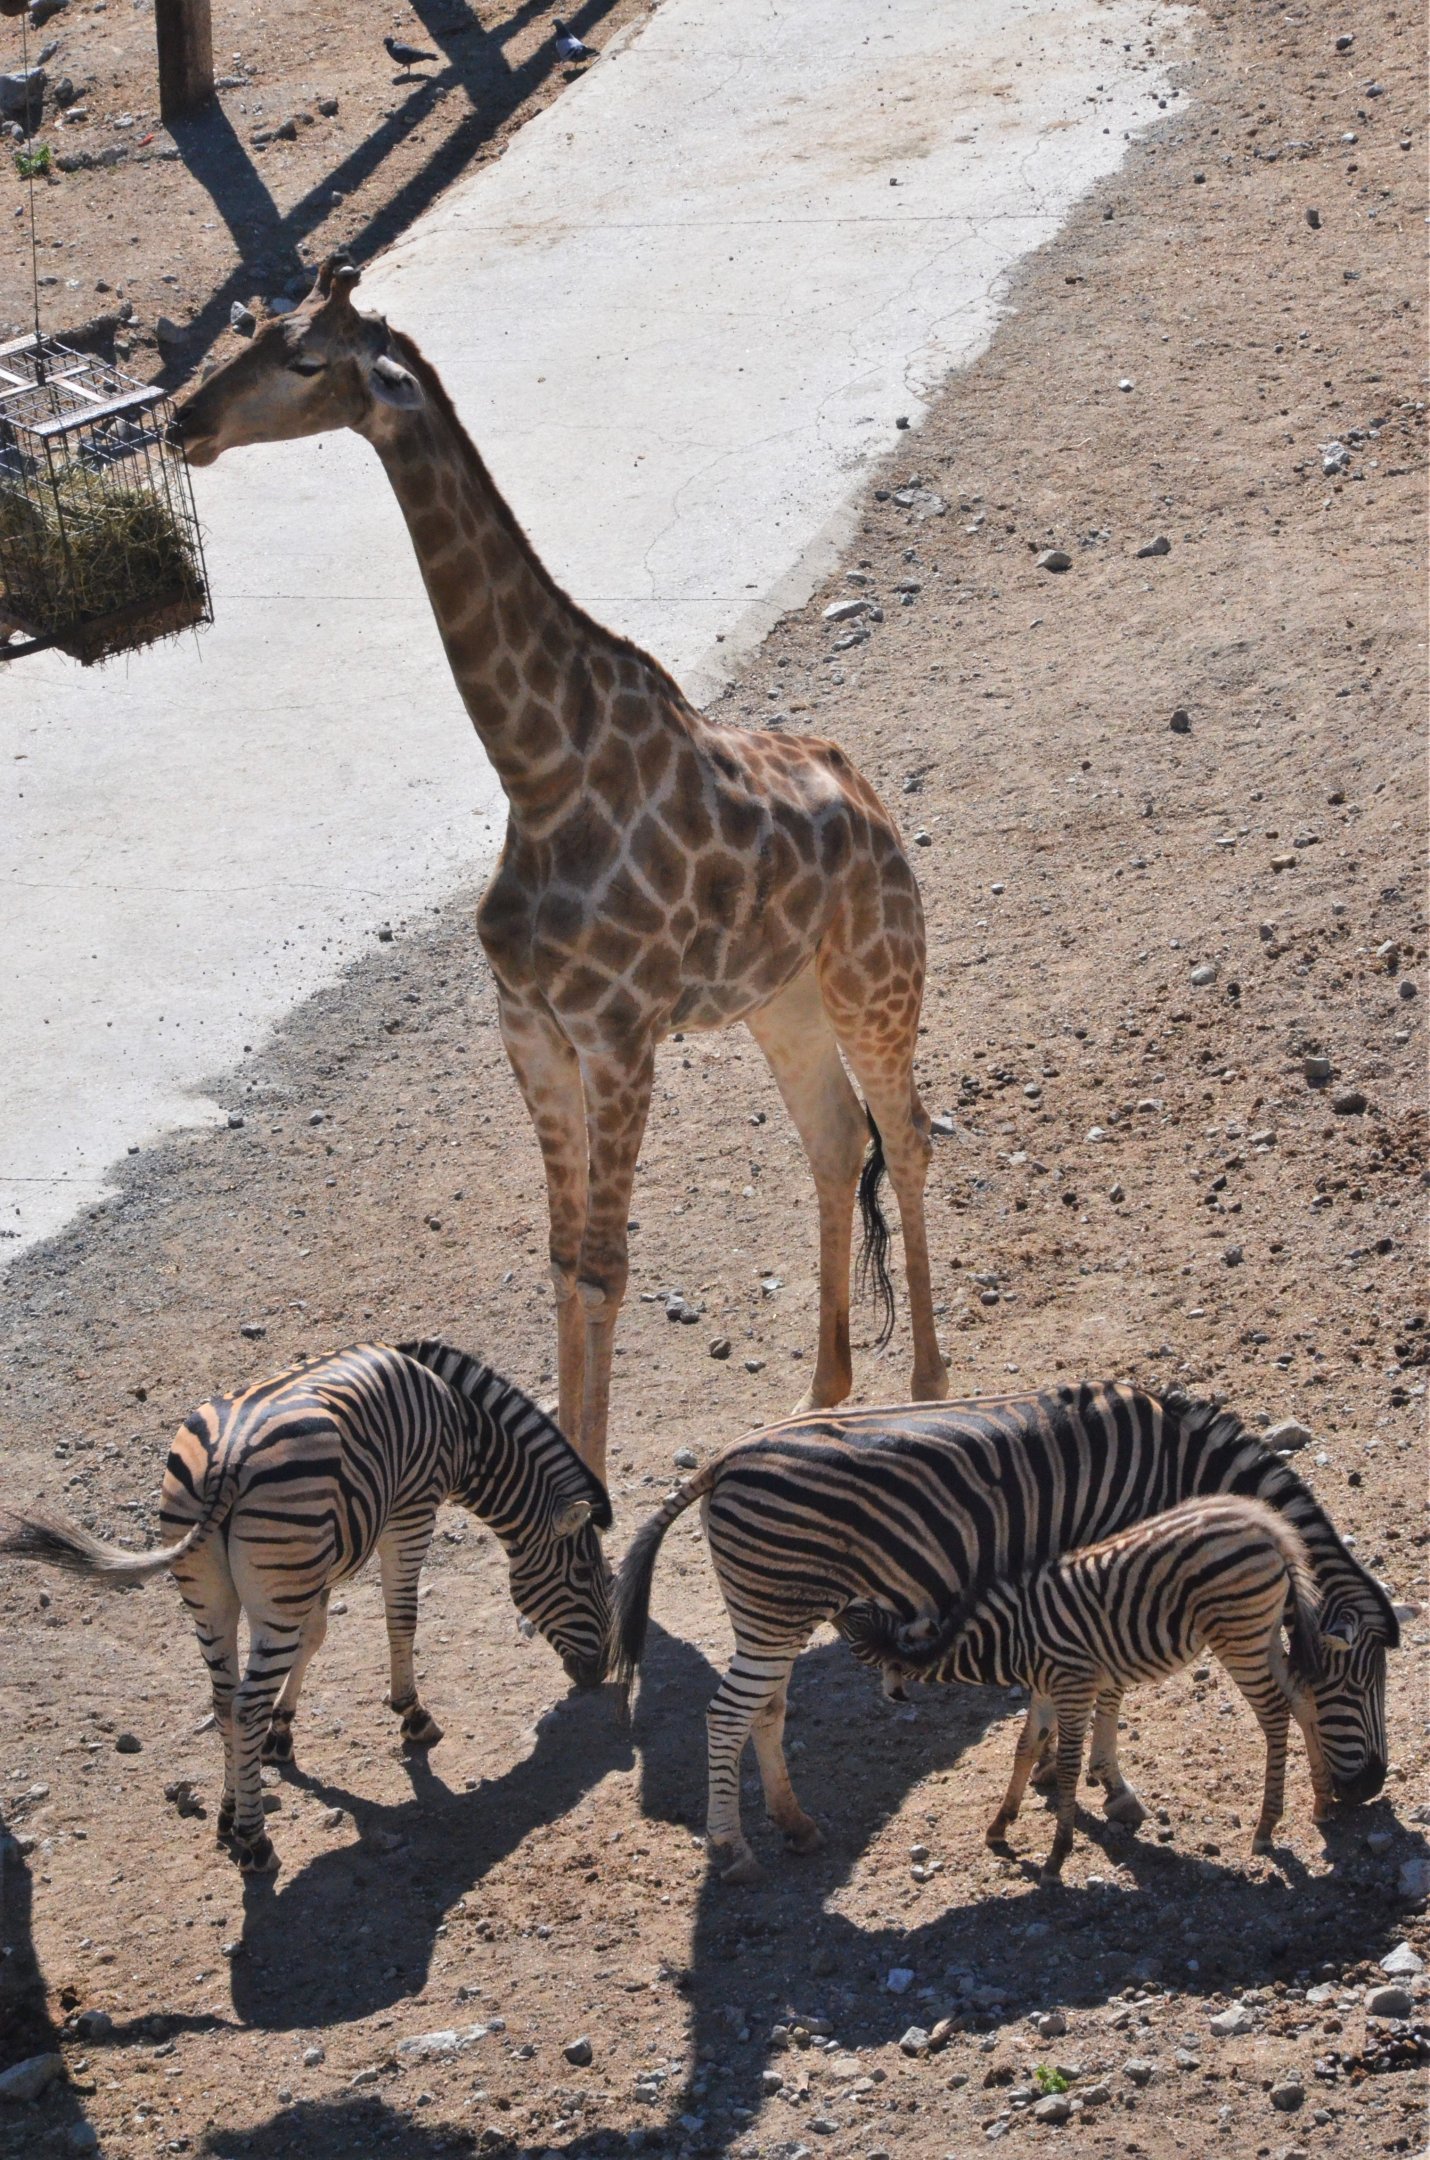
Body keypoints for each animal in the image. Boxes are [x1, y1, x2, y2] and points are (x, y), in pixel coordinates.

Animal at [0, 1339, 612, 1874]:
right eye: (590, 1576)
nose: (599, 1676)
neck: (462, 1425)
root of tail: (226, 1459)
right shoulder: (409, 1515)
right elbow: (402, 1620)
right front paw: (412, 1714)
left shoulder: (317, 1566)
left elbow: (313, 1639)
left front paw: (281, 1735)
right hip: (280, 1566)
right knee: (244, 1704)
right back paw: (256, 1843)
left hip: (215, 1590)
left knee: (225, 1700)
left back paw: (229, 1818)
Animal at [174, 256, 950, 1483]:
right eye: (247, 332)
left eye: (303, 360)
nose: (182, 422)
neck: (538, 771)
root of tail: (872, 805)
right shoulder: (531, 1025)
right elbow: (556, 1256)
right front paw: (563, 1479)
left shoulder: (620, 1034)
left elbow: (603, 1263)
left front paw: (591, 1494)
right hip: (779, 999)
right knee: (834, 1146)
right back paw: (817, 1400)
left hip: (875, 977)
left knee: (908, 1134)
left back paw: (923, 1390)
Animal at [839, 1495, 1333, 1880]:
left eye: (849, 1634)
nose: (893, 1695)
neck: (1008, 1640)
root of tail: (1268, 1526)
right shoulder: (1043, 1692)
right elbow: (1024, 1748)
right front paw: (1000, 1825)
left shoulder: (1072, 1688)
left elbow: (1069, 1766)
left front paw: (1056, 1856)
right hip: (1263, 1632)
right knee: (1303, 1696)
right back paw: (1321, 1801)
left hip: (1238, 1634)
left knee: (1274, 1713)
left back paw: (1266, 1827)